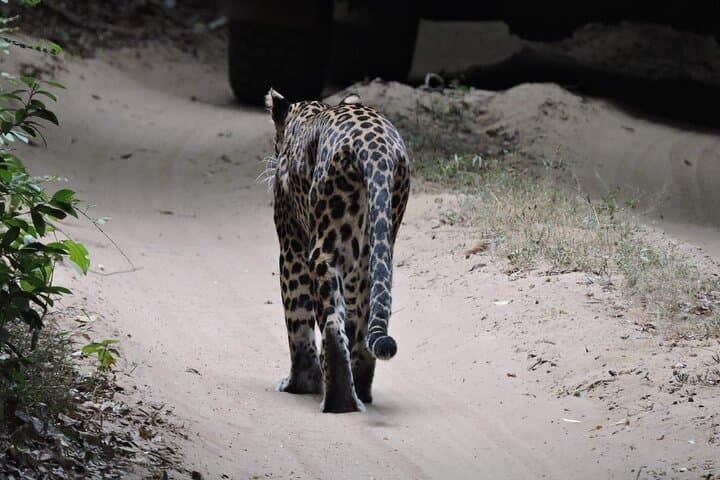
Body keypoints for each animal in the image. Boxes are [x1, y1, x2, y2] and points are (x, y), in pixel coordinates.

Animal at [264, 88, 411, 413]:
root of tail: (377, 148)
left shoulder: (292, 246)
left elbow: (297, 319)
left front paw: (301, 383)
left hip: (326, 248)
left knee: (331, 323)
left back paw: (339, 400)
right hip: (373, 248)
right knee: (363, 321)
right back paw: (361, 391)